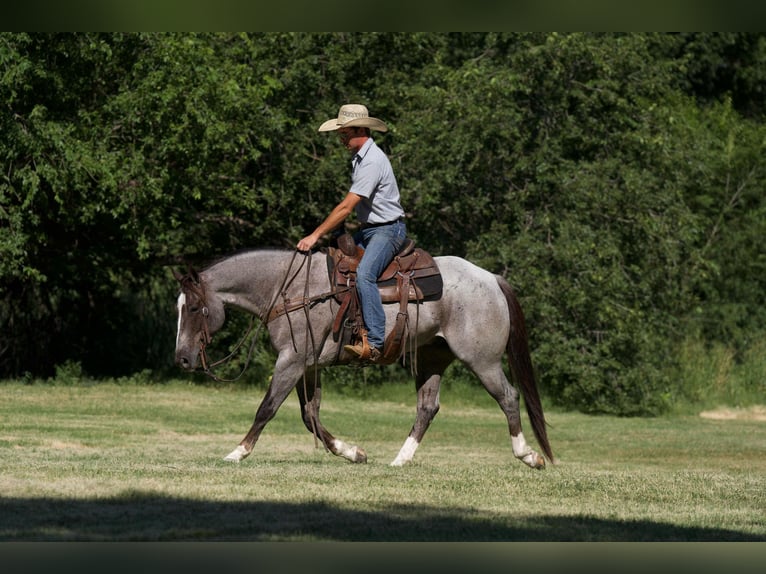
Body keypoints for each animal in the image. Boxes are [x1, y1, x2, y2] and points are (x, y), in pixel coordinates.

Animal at [173, 246, 556, 468]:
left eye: (192, 308)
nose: (182, 359)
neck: (289, 289)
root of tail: (491, 278)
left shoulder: (291, 361)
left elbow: (267, 408)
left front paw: (237, 452)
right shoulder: (307, 366)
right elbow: (310, 415)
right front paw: (352, 452)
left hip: (482, 360)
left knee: (508, 397)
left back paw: (529, 456)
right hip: (432, 359)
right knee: (427, 408)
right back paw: (399, 460)